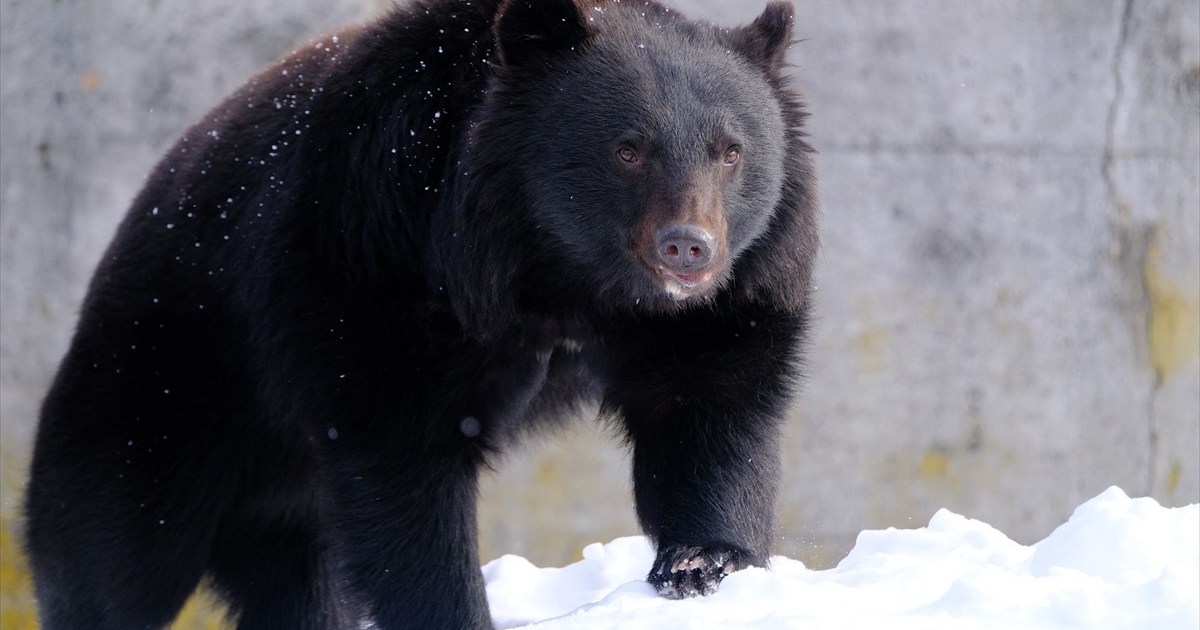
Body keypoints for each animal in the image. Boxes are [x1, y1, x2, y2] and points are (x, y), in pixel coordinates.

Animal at [22, 0, 818, 628]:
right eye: (628, 149)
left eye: (730, 152)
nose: (689, 248)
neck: (557, 271)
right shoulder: (375, 256)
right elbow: (402, 463)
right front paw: (452, 609)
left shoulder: (726, 295)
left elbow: (707, 403)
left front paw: (704, 565)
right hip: (161, 392)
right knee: (111, 558)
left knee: (297, 575)